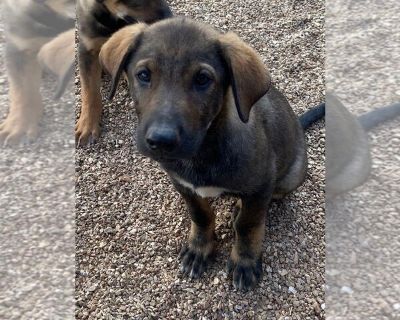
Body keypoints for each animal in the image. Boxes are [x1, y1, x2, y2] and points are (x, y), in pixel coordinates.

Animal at [100, 18, 310, 290]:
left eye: (202, 79)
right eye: (143, 75)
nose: (161, 141)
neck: (202, 152)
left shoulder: (262, 182)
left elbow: (249, 224)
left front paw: (245, 259)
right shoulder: (183, 184)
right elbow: (200, 214)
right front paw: (199, 248)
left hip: (293, 175)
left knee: (273, 196)